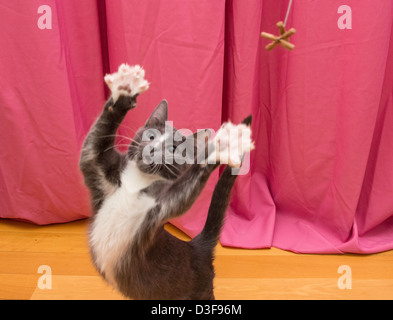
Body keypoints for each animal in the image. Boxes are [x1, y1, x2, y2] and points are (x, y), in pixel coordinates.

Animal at [79, 63, 254, 298]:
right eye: (151, 136)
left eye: (173, 148)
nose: (152, 148)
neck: (137, 181)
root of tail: (197, 247)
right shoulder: (102, 172)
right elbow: (93, 143)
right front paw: (125, 91)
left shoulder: (159, 208)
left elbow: (182, 193)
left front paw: (222, 146)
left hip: (201, 292)